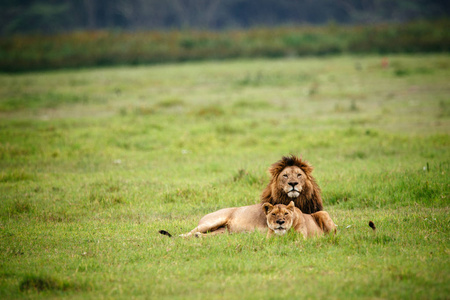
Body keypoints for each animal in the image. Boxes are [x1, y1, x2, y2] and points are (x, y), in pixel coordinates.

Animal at [175, 155, 324, 237]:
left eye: (299, 175)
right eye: (285, 175)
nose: (293, 183)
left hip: (223, 231)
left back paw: (198, 237)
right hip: (211, 222)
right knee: (188, 233)